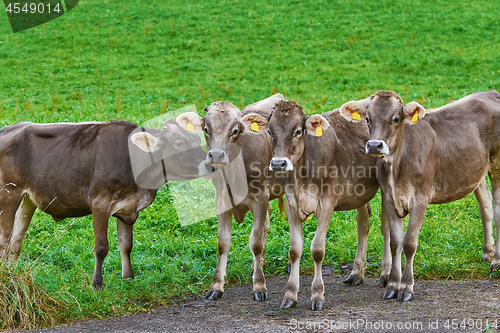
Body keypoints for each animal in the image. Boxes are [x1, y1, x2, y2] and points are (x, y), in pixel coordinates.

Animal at [0, 118, 209, 288]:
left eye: (197, 140)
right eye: (179, 143)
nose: (208, 164)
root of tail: (7, 128)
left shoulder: (128, 209)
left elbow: (126, 245)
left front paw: (128, 278)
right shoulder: (100, 204)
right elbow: (101, 248)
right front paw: (97, 284)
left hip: (27, 200)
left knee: (15, 243)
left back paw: (13, 274)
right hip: (8, 193)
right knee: (5, 241)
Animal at [176, 93, 286, 300]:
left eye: (235, 131)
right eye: (206, 129)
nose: (216, 155)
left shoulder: (259, 199)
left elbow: (255, 242)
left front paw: (259, 286)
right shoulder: (221, 201)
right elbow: (223, 243)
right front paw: (216, 286)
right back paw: (257, 264)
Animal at [252, 98, 388, 308]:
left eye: (297, 131)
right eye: (270, 132)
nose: (278, 164)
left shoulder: (327, 204)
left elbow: (317, 249)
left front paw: (317, 296)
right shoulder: (291, 205)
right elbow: (294, 250)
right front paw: (290, 295)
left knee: (387, 226)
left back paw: (386, 275)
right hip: (360, 193)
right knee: (363, 224)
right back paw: (357, 273)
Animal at [340, 89, 500, 300]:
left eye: (396, 119)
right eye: (367, 118)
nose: (374, 145)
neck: (397, 167)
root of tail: (490, 92)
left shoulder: (420, 200)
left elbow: (409, 243)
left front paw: (407, 287)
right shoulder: (390, 198)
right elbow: (395, 243)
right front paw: (393, 285)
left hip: (497, 166)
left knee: (497, 210)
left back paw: (496, 262)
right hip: (475, 171)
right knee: (486, 206)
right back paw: (487, 253)